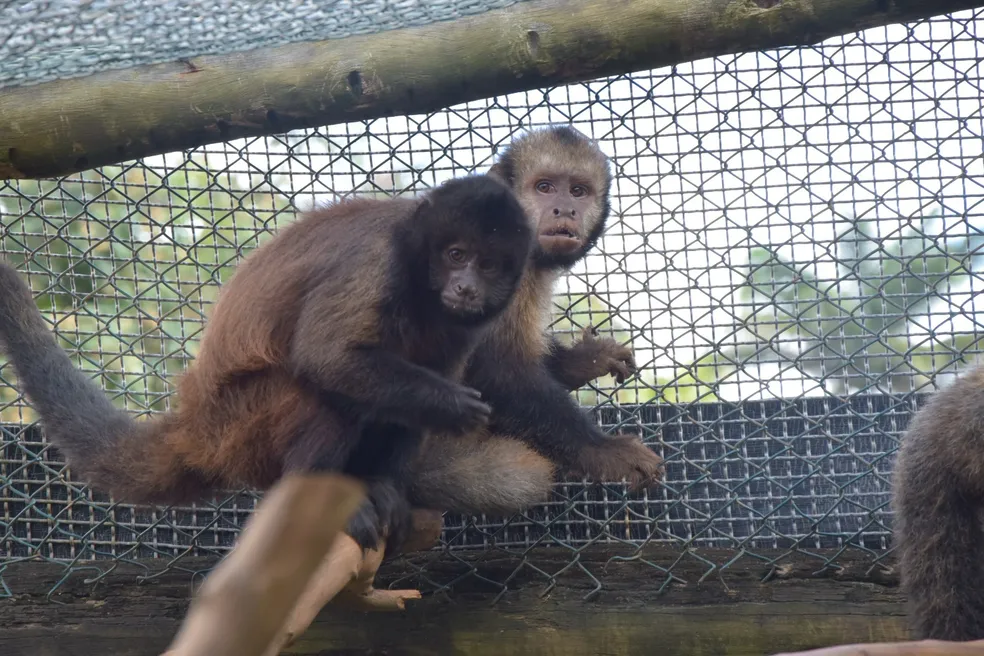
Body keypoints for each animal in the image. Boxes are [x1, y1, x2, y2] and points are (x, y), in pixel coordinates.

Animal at [0, 172, 536, 552]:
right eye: (455, 254)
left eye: (488, 265)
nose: (465, 286)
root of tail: (197, 422)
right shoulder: (379, 260)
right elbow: (327, 357)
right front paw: (454, 405)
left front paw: (392, 484)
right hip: (242, 423)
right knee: (323, 393)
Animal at [404, 124, 664, 516]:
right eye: (544, 187)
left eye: (578, 191)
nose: (565, 209)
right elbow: (500, 372)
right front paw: (603, 451)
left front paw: (583, 361)